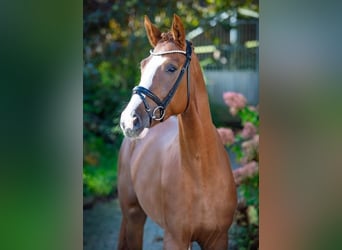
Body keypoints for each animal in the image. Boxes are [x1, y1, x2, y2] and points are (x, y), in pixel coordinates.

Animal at [119, 14, 236, 249]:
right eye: (143, 66)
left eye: (171, 68)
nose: (128, 121)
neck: (202, 174)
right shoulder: (175, 238)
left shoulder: (218, 239)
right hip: (133, 215)